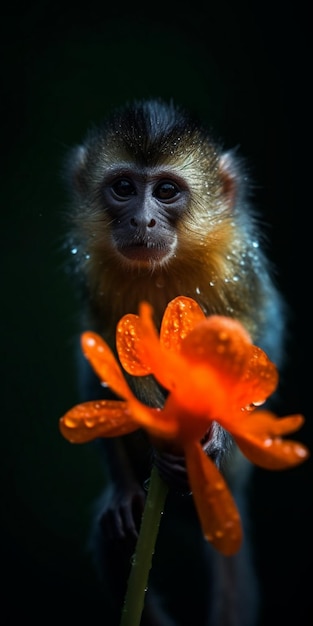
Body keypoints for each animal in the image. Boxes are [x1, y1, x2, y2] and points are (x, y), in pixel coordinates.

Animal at [63, 97, 286, 624]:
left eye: (166, 191)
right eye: (124, 188)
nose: (142, 221)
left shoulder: (235, 260)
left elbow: (260, 339)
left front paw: (218, 432)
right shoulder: (94, 273)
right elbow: (97, 357)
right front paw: (125, 487)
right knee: (111, 538)